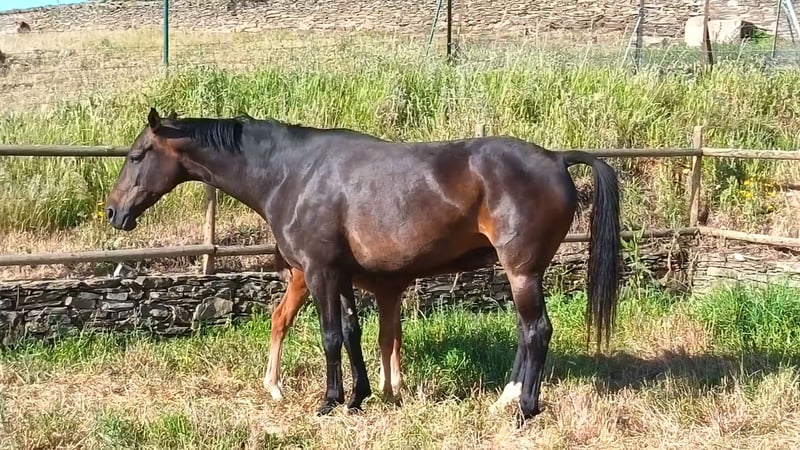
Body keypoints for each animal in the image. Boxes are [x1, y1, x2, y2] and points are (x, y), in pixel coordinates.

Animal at [105, 108, 621, 423]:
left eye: (137, 156)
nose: (112, 211)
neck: (292, 173)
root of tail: (556, 158)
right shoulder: (341, 275)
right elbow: (353, 333)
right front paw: (358, 397)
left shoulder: (318, 272)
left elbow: (330, 336)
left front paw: (329, 401)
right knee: (524, 330)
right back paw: (505, 399)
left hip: (522, 272)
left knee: (536, 331)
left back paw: (525, 409)